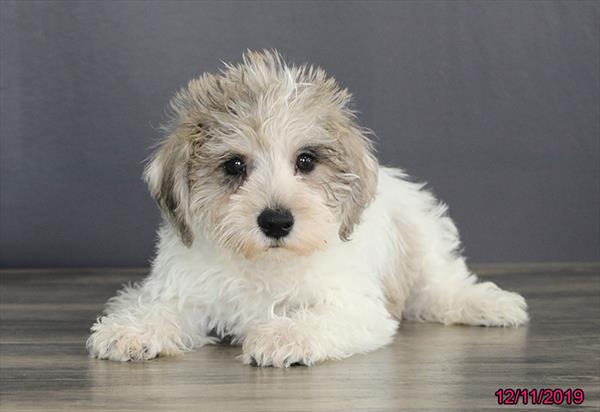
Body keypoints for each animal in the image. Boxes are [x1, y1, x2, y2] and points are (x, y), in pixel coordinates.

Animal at [86, 49, 528, 366]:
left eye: (306, 161)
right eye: (234, 165)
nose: (276, 221)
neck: (265, 264)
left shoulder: (356, 308)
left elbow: (317, 318)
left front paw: (281, 335)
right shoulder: (181, 288)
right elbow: (159, 308)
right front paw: (133, 330)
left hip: (422, 236)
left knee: (441, 285)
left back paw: (489, 304)